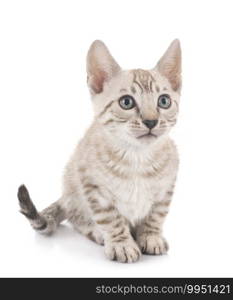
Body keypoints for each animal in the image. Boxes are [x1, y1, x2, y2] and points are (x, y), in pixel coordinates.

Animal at [18, 39, 182, 262]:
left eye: (164, 101)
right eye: (126, 102)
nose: (151, 121)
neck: (137, 157)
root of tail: (64, 196)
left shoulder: (166, 187)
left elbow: (156, 214)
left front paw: (151, 236)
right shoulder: (93, 187)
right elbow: (111, 219)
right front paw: (121, 243)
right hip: (72, 184)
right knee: (77, 219)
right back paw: (97, 232)